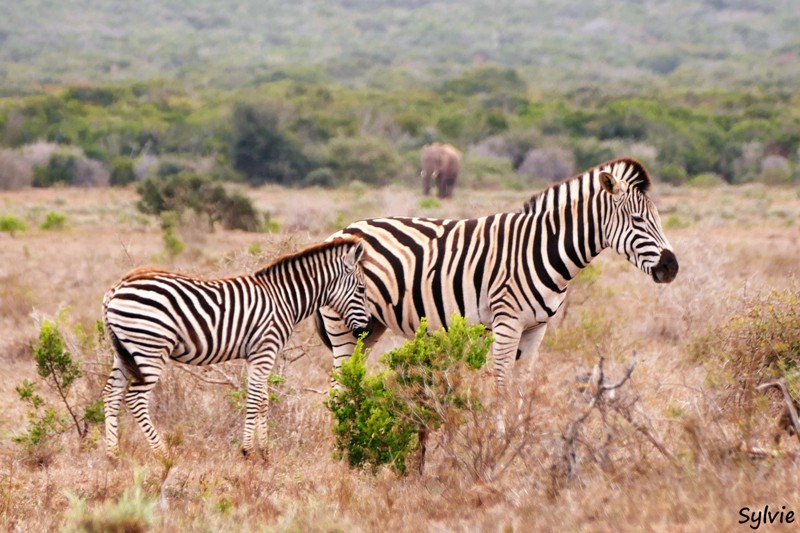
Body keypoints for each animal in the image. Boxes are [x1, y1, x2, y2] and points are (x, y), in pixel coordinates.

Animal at [101, 237, 372, 458]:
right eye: (361, 289)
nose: (365, 331)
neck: (283, 298)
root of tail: (117, 287)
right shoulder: (265, 350)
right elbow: (254, 400)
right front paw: (247, 451)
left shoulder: (258, 355)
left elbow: (263, 400)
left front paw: (264, 452)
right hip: (150, 349)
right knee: (135, 398)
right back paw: (162, 452)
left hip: (124, 351)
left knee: (110, 394)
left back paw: (113, 454)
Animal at [316, 157, 680, 386]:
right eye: (638, 221)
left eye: (659, 219)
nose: (671, 267)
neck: (543, 248)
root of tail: (344, 229)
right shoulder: (507, 322)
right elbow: (501, 382)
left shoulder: (536, 328)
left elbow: (521, 384)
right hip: (343, 326)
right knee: (338, 381)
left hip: (370, 327)